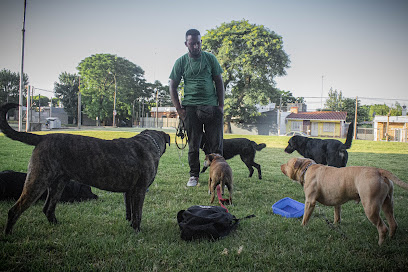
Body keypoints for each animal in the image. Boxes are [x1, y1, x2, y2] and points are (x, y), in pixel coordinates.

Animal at [0, 103, 169, 235]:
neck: (149, 143)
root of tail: (42, 137)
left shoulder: (129, 192)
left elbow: (130, 212)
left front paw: (130, 227)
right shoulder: (139, 190)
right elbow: (137, 214)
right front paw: (137, 231)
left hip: (58, 185)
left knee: (48, 208)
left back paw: (57, 226)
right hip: (37, 182)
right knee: (15, 210)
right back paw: (9, 234)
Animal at [280, 156, 408, 245]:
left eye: (287, 163)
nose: (281, 165)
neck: (306, 168)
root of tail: (379, 171)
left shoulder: (310, 202)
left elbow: (306, 217)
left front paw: (302, 227)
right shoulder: (337, 202)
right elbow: (337, 216)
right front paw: (336, 225)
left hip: (370, 207)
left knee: (382, 227)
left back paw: (380, 244)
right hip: (388, 204)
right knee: (393, 223)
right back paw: (391, 239)